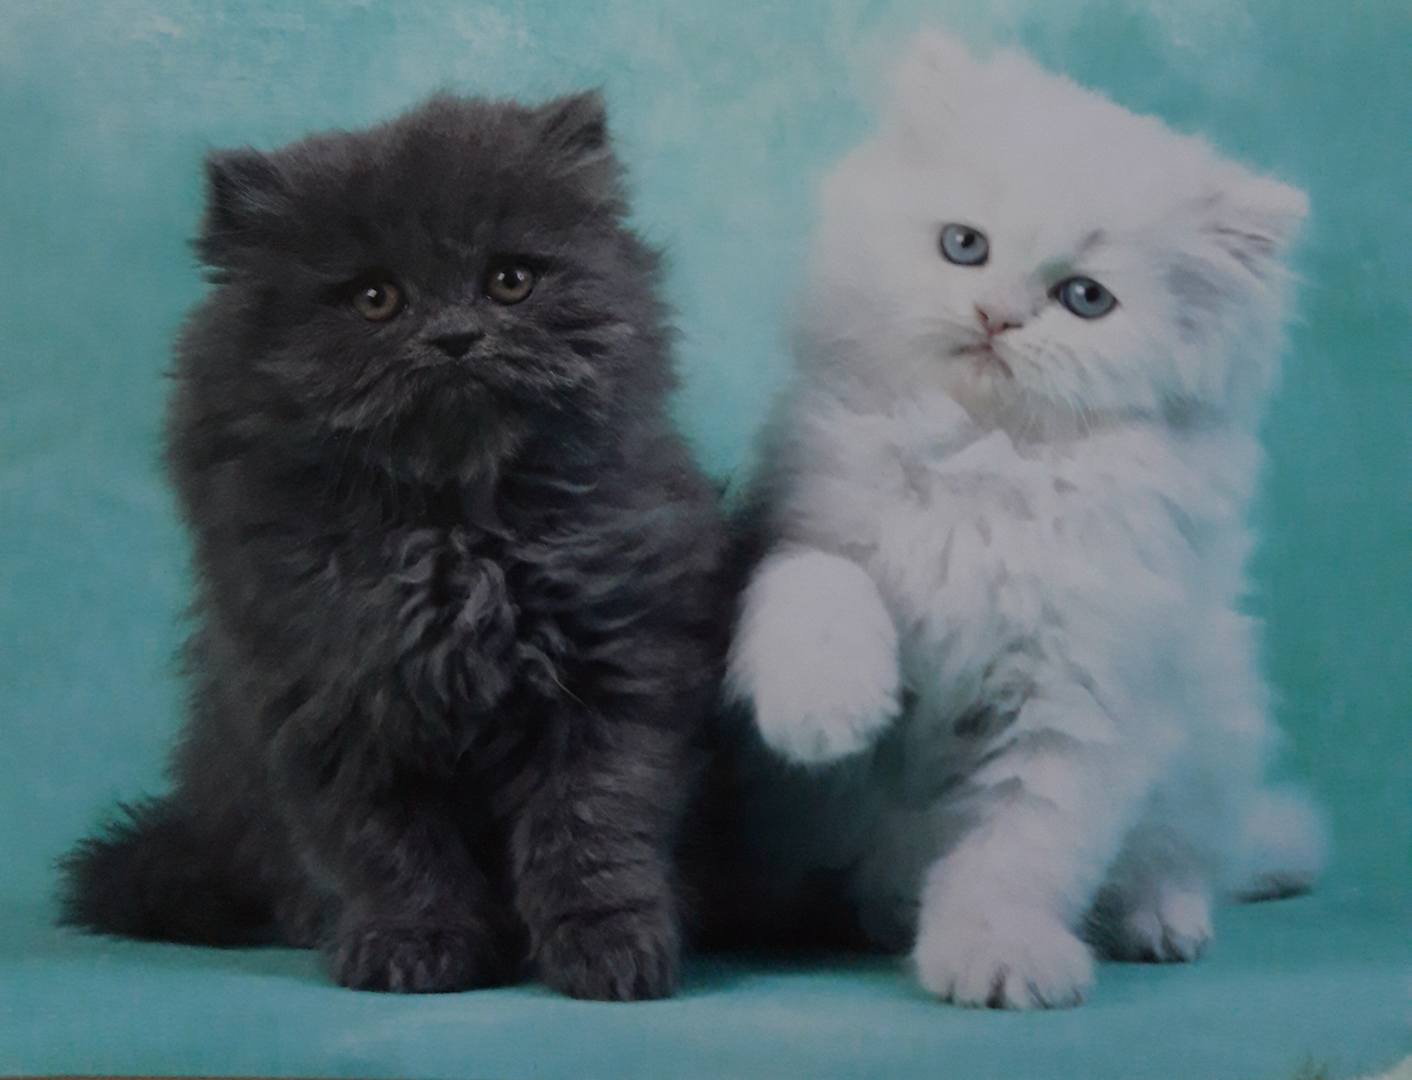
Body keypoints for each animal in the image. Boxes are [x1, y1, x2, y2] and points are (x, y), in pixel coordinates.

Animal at [59, 91, 727, 1001]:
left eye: (509, 281)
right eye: (375, 298)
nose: (454, 335)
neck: (454, 533)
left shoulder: (615, 676)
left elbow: (591, 829)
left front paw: (610, 945)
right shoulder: (329, 702)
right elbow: (389, 852)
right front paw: (414, 944)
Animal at [718, 33, 1326, 1007]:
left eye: (1085, 299)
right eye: (965, 245)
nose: (996, 315)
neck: (984, 460)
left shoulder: (1083, 693)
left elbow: (1019, 851)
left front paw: (997, 955)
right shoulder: (799, 527)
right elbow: (822, 585)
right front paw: (830, 709)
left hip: (1214, 720)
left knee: (1183, 858)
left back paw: (1161, 922)